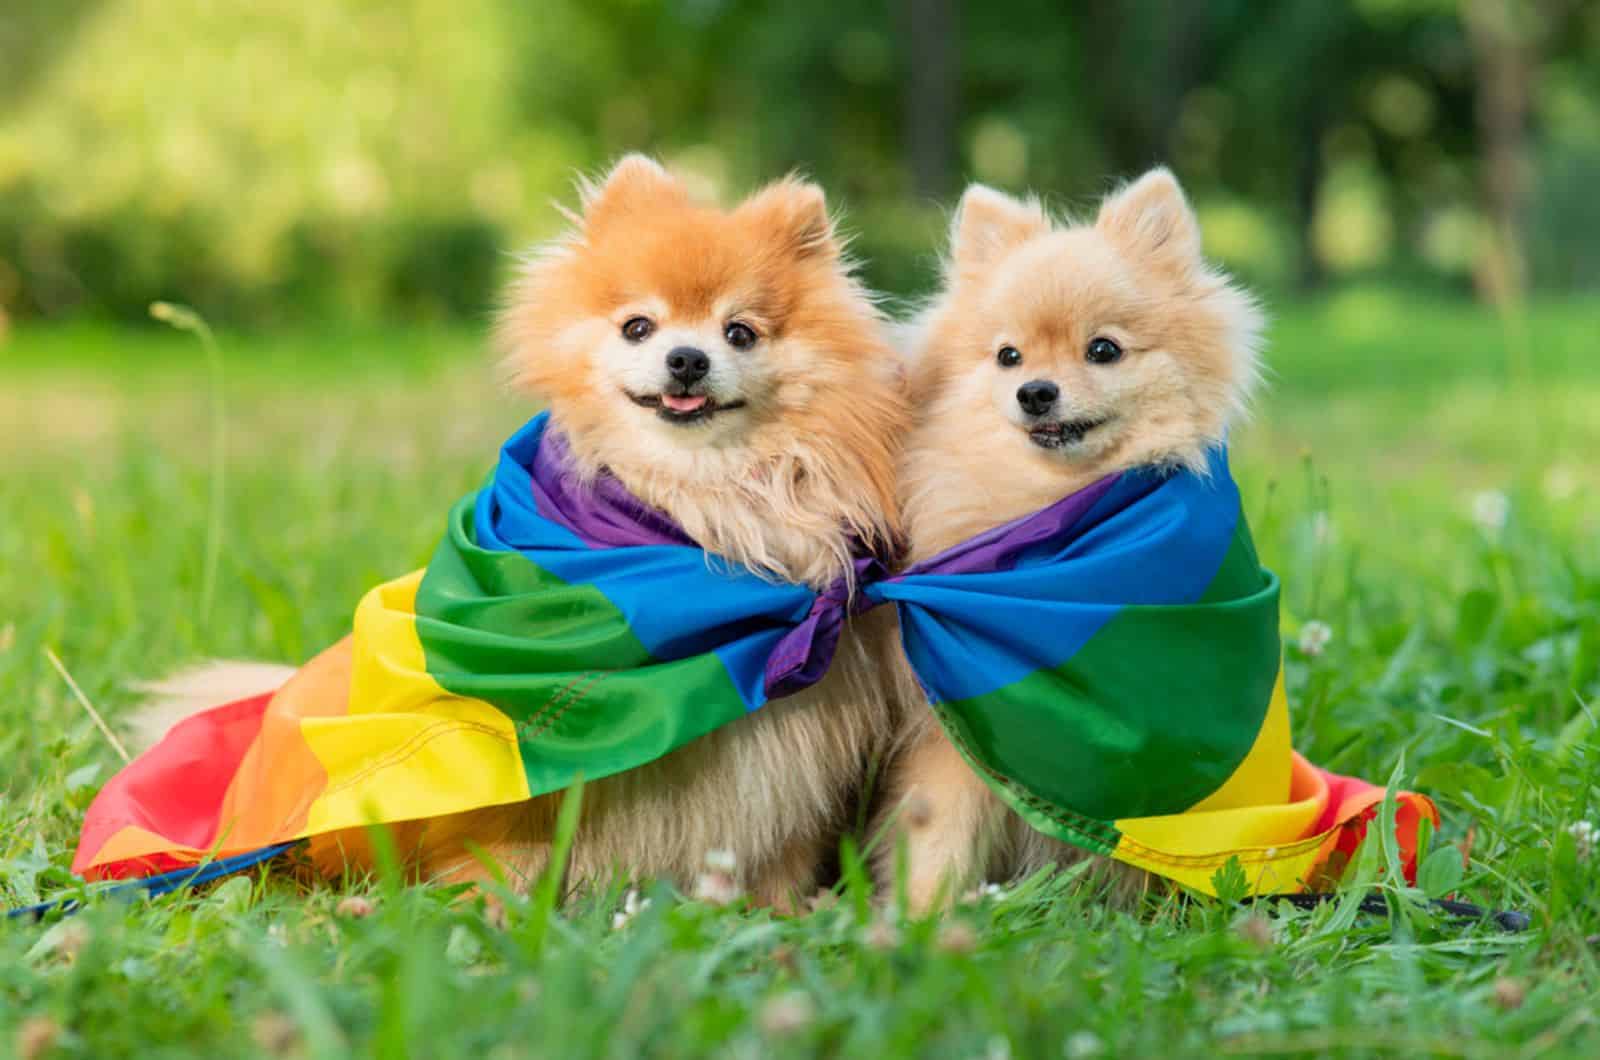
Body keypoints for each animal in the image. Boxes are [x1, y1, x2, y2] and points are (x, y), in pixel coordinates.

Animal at [134, 157, 915, 915]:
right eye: (638, 327)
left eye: (740, 332)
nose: (687, 359)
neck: (693, 513)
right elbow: (502, 856)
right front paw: (490, 917)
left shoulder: (791, 761)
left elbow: (777, 857)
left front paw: (777, 916)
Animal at [876, 166, 1260, 915]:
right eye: (1008, 356)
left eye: (1103, 349)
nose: (1035, 391)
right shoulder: (957, 728)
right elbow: (940, 832)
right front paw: (923, 916)